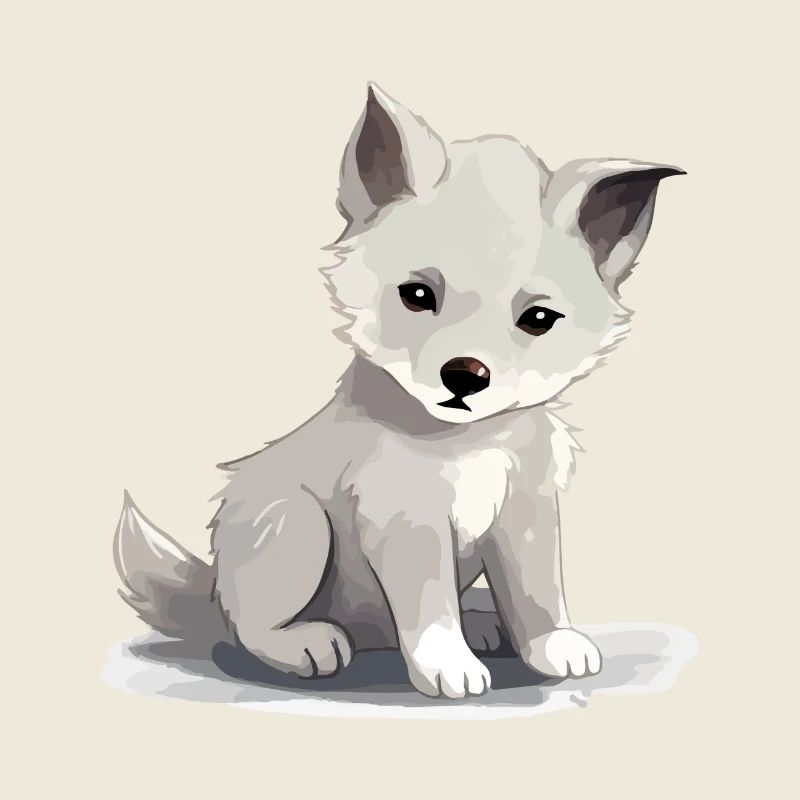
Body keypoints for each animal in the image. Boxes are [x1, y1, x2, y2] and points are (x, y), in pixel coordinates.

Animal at [114, 84, 683, 698]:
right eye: (417, 295)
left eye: (537, 319)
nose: (465, 375)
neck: (468, 443)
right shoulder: (407, 520)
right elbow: (429, 605)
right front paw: (447, 664)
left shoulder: (526, 511)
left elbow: (539, 590)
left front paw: (551, 645)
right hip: (293, 523)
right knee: (249, 623)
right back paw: (307, 643)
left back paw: (482, 623)